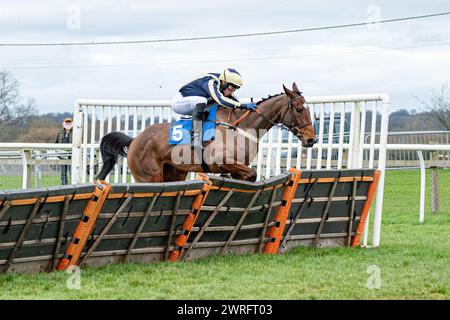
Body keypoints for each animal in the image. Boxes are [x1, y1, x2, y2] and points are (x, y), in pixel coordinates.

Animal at [97, 82, 316, 182]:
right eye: (299, 109)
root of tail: (134, 140)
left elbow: (248, 175)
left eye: (308, 109)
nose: (311, 140)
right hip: (149, 176)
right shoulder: (219, 161)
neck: (239, 128)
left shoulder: (237, 166)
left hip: (175, 173)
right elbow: (252, 173)